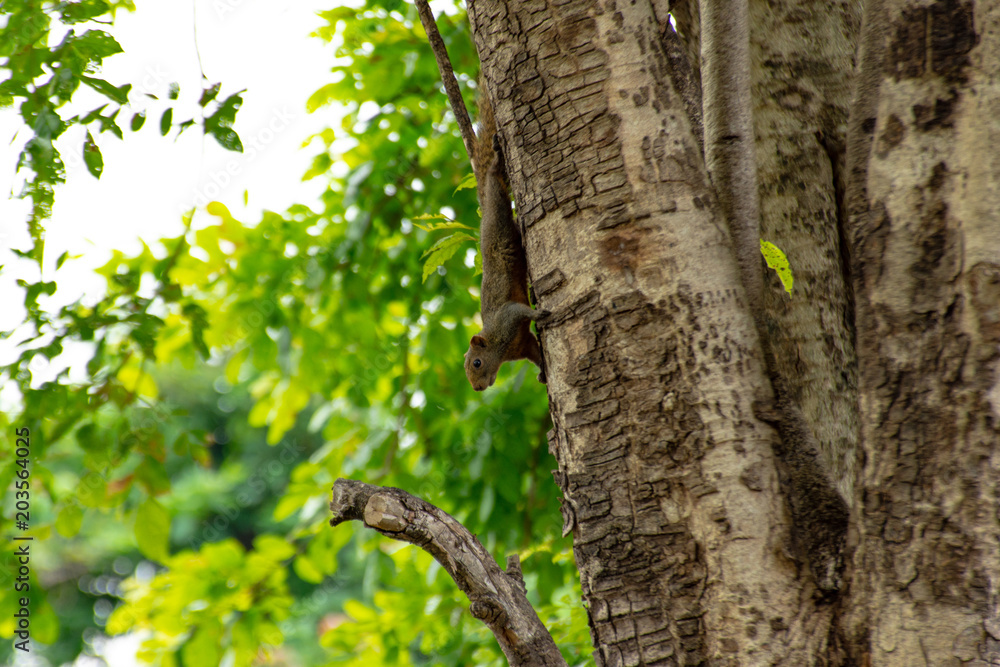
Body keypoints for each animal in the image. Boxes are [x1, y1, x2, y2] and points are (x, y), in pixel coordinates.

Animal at [464, 95, 548, 391]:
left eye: (477, 363)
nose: (477, 388)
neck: (501, 349)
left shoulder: (507, 319)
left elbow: (520, 310)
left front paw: (539, 314)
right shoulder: (524, 345)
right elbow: (535, 353)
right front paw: (543, 373)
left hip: (497, 213)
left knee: (494, 179)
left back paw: (497, 156)